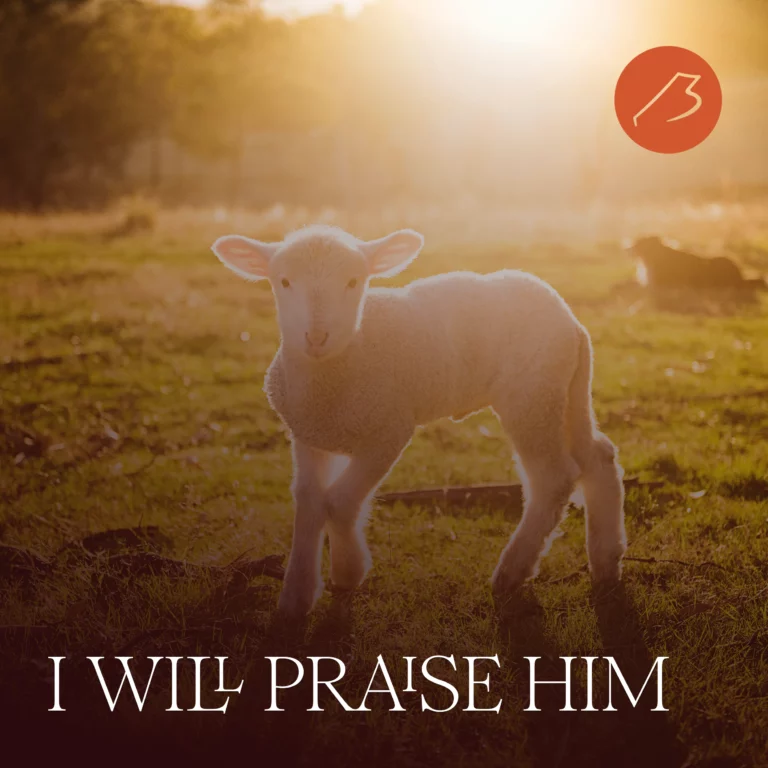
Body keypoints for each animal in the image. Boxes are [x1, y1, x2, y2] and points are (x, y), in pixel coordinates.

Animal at [212, 225, 627, 618]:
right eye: (283, 281)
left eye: (353, 281)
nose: (316, 336)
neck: (339, 367)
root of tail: (571, 321)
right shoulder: (308, 435)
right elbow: (309, 500)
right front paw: (296, 596)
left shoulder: (388, 431)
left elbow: (339, 502)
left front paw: (348, 572)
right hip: (567, 391)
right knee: (598, 457)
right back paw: (606, 561)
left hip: (532, 396)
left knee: (552, 479)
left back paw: (512, 572)